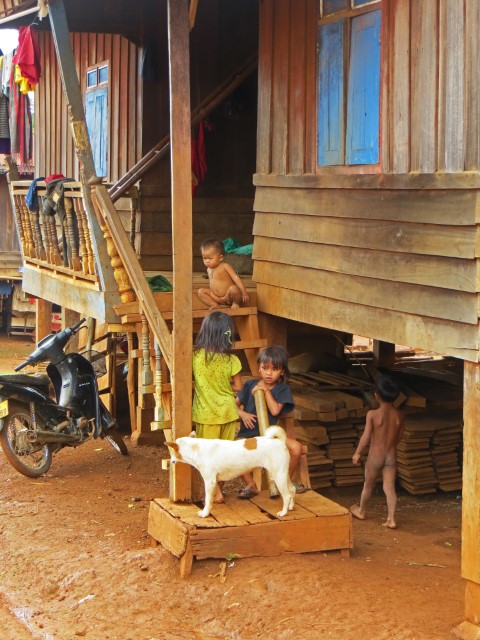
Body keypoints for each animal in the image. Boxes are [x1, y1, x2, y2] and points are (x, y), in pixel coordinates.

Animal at [167, 424, 298, 520]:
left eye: (171, 452)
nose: (170, 462)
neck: (197, 449)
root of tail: (280, 441)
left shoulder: (209, 482)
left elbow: (208, 500)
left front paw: (205, 513)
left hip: (278, 476)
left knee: (286, 495)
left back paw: (284, 512)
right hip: (283, 474)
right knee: (292, 490)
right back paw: (291, 507)